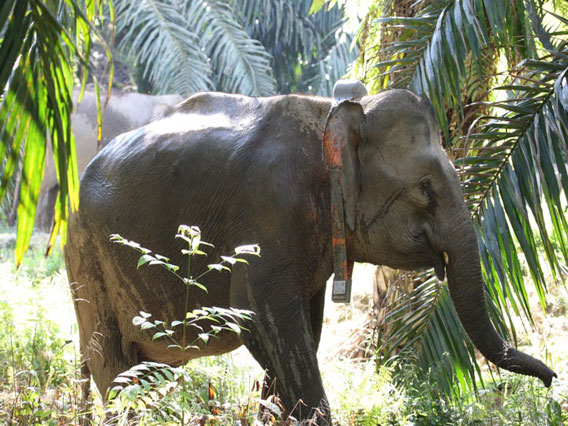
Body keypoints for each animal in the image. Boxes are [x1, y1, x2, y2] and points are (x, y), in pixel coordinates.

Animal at [63, 86, 556, 422]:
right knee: (112, 364)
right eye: (425, 188)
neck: (336, 112)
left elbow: (303, 331)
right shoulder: (267, 212)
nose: (552, 380)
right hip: (85, 256)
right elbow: (266, 323)